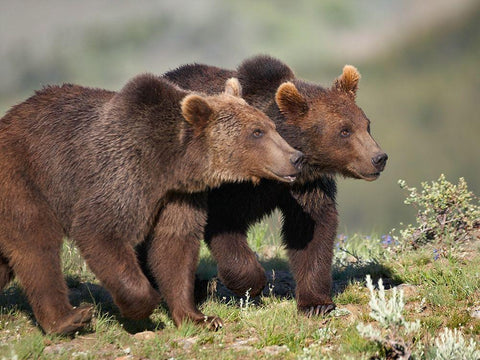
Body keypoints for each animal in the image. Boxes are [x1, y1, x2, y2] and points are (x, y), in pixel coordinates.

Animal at [0, 74, 302, 334]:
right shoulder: (122, 172)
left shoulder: (179, 197)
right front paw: (142, 305)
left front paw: (200, 318)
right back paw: (68, 318)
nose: (296, 157)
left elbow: (174, 247)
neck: (169, 164)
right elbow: (100, 229)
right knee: (36, 242)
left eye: (271, 126)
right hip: (24, 177)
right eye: (257, 132)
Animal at [157, 54, 386, 316]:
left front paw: (316, 303)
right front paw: (250, 283)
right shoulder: (231, 184)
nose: (379, 158)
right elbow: (223, 221)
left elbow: (312, 228)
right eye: (344, 131)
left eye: (366, 124)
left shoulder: (306, 186)